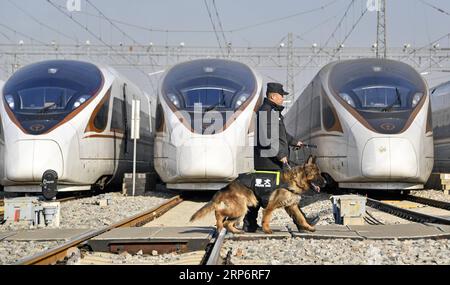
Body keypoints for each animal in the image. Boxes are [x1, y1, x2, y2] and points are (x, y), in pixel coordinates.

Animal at [188, 155, 326, 233]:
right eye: (317, 174)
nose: (325, 182)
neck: (295, 180)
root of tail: (227, 187)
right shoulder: (270, 207)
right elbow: (266, 218)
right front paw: (267, 230)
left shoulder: (292, 206)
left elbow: (301, 218)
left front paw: (308, 227)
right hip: (240, 209)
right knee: (219, 213)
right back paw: (220, 225)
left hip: (241, 210)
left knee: (227, 221)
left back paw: (235, 231)